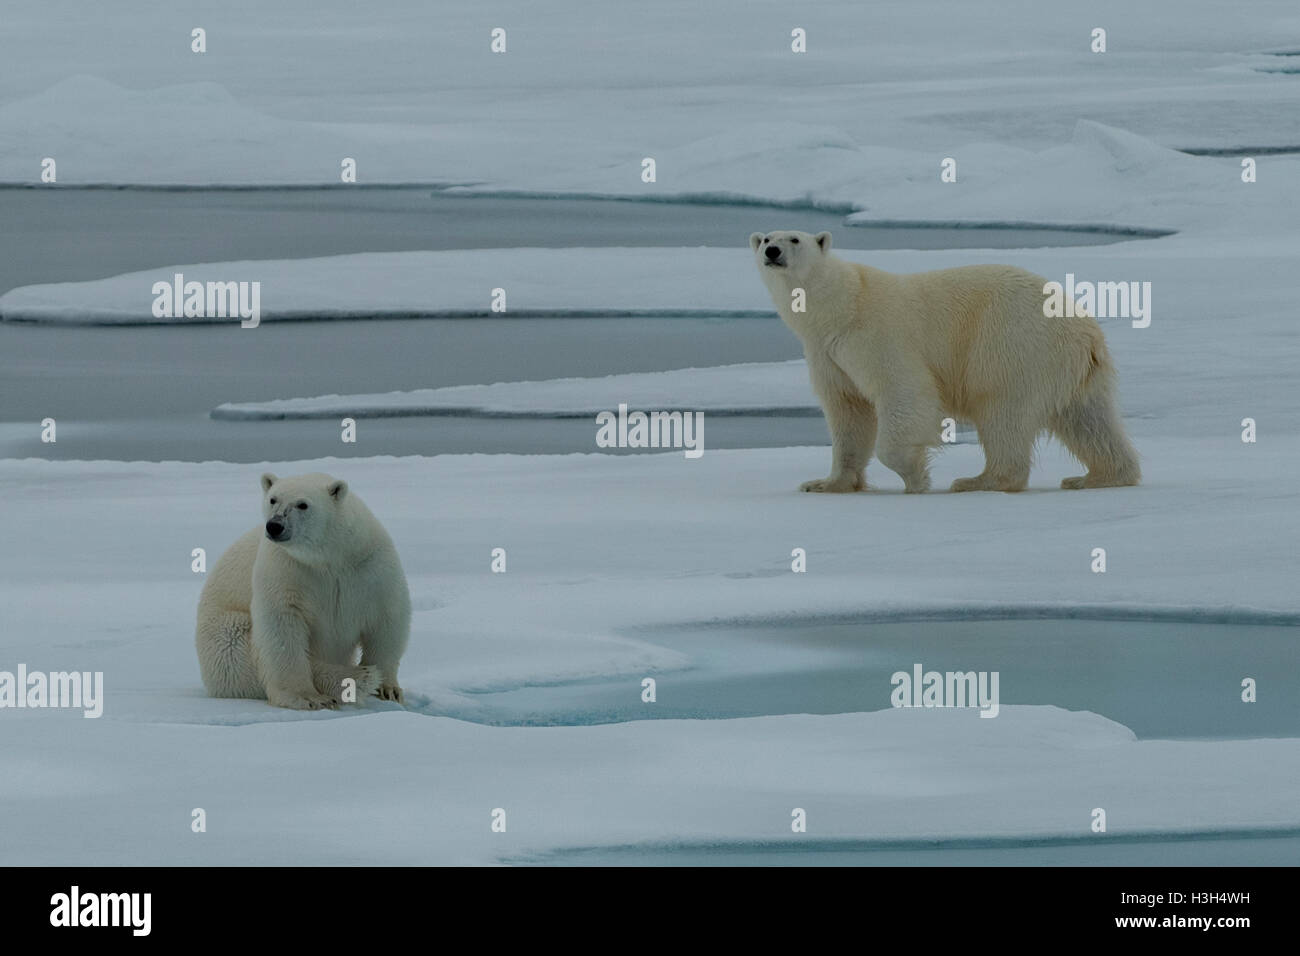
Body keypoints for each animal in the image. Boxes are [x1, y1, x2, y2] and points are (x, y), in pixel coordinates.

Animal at [193, 473, 410, 712]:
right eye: (273, 499)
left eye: (302, 504)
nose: (274, 526)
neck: (328, 557)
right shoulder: (286, 570)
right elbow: (282, 629)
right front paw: (310, 698)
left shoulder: (369, 565)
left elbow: (387, 617)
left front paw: (388, 690)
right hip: (219, 632)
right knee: (237, 651)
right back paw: (356, 677)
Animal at [754, 232, 1138, 496]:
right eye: (767, 238)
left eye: (794, 238)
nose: (772, 252)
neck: (842, 305)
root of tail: (1086, 332)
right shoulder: (827, 354)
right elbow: (848, 411)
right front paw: (824, 483)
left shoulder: (875, 335)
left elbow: (904, 391)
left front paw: (916, 477)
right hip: (1075, 370)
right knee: (1088, 420)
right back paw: (1097, 476)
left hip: (1014, 348)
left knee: (1002, 411)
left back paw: (979, 480)